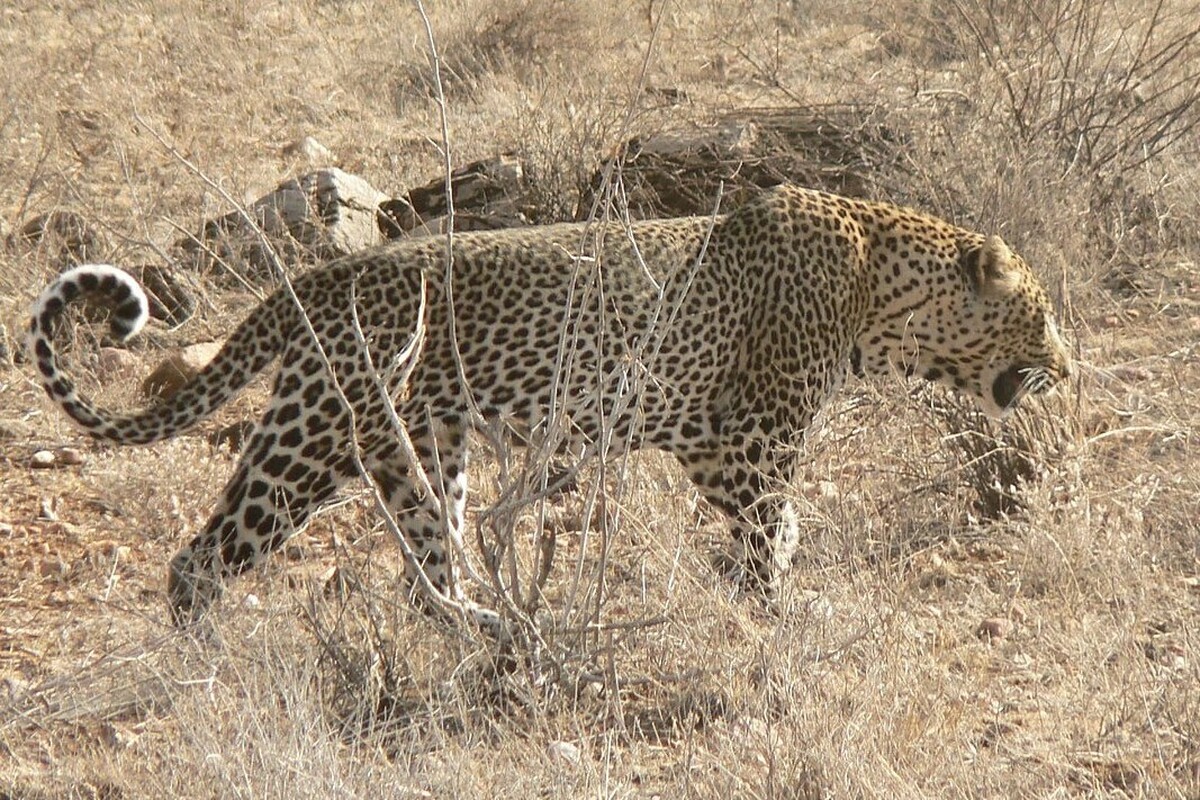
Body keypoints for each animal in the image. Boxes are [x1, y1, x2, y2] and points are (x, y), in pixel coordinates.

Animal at [25, 184, 1070, 628]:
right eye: (1042, 313)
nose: (1067, 363)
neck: (880, 294)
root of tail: (320, 278)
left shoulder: (718, 446)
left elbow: (773, 531)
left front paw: (761, 596)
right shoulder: (748, 438)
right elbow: (775, 528)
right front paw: (776, 615)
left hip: (420, 449)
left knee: (429, 564)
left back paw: (485, 632)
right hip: (311, 435)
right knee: (201, 558)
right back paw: (210, 664)